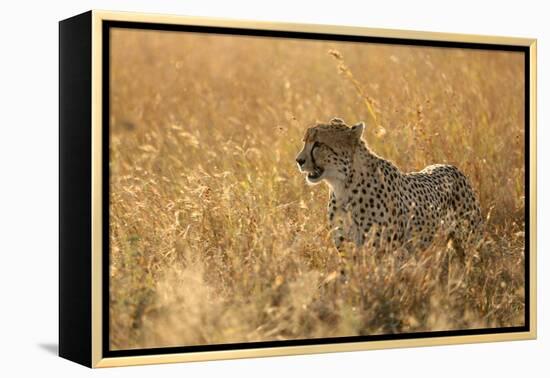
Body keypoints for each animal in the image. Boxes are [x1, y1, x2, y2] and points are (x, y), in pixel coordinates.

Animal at [298, 117, 484, 254]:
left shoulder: (384, 250)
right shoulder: (347, 247)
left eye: (318, 144)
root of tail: (450, 166)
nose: (298, 160)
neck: (343, 185)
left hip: (471, 238)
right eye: (305, 141)